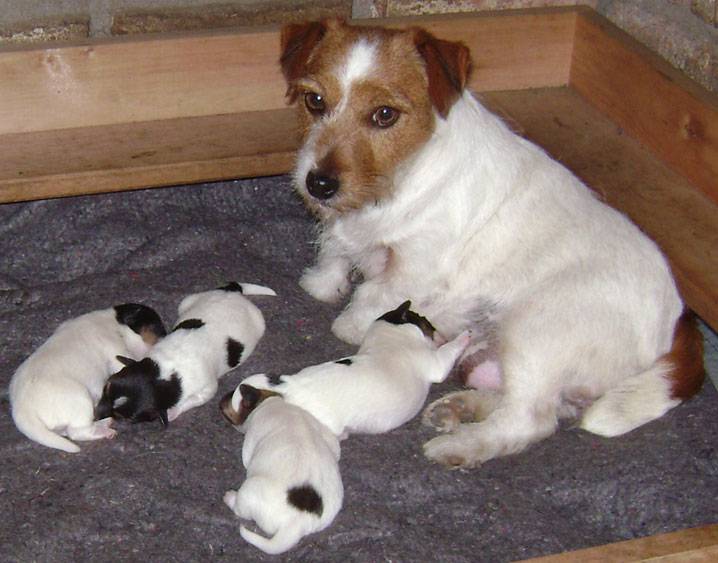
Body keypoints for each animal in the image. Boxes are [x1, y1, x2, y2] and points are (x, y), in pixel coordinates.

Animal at [10, 304, 168, 454]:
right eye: (160, 327)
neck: (113, 321)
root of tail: (21, 410)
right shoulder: (116, 351)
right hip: (81, 400)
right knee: (77, 432)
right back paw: (104, 429)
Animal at [95, 284, 276, 426]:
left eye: (121, 418)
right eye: (105, 388)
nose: (95, 416)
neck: (160, 374)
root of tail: (233, 291)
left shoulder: (207, 389)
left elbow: (190, 400)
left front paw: (173, 411)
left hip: (258, 320)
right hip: (189, 300)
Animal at [219, 384, 344, 556]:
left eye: (231, 396)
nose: (219, 402)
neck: (268, 402)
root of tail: (296, 524)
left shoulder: (250, 440)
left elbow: (246, 458)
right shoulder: (326, 435)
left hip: (248, 490)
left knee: (240, 510)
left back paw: (230, 497)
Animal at [225, 302, 472, 442]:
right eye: (426, 321)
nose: (439, 332)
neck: (389, 337)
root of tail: (287, 387)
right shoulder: (435, 363)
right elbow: (449, 351)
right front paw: (465, 335)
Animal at [278, 19, 704, 470]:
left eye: (384, 115)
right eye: (314, 101)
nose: (319, 184)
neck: (401, 178)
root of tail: (678, 319)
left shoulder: (414, 266)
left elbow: (373, 295)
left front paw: (349, 325)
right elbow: (334, 250)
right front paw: (322, 283)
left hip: (536, 333)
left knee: (529, 420)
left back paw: (459, 446)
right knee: (543, 406)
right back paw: (458, 408)